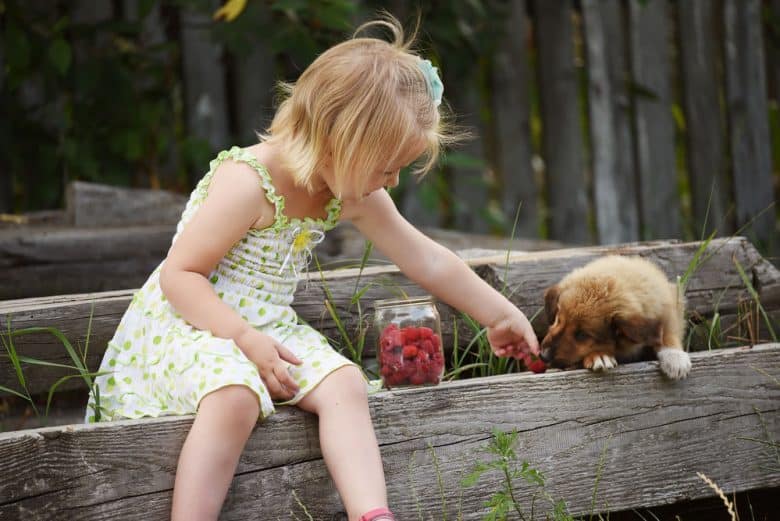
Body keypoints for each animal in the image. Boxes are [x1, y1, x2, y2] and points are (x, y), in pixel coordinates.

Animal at [540, 255, 692, 380]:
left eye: (582, 335)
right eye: (557, 320)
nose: (543, 356)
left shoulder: (669, 307)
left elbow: (667, 332)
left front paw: (675, 357)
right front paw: (598, 355)